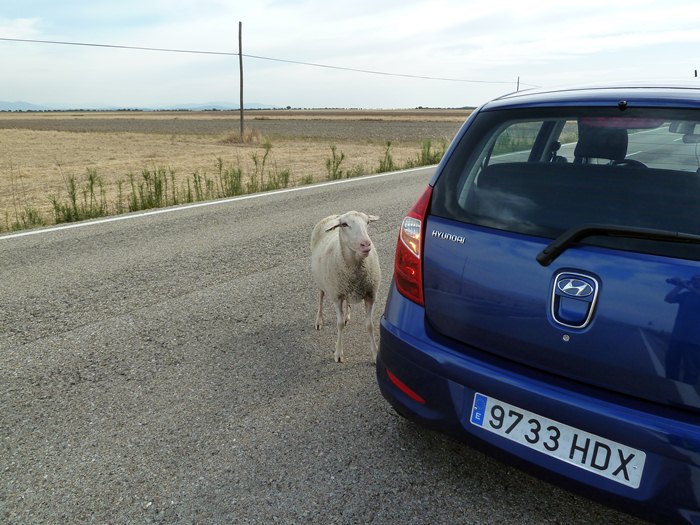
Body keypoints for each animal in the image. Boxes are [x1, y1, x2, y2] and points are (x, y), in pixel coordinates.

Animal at [310, 211, 381, 363]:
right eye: (344, 224)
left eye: (367, 222)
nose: (366, 244)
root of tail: (333, 216)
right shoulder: (336, 296)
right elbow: (340, 324)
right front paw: (338, 353)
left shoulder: (370, 296)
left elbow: (370, 326)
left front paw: (375, 354)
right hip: (321, 280)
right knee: (321, 296)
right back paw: (319, 320)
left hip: (347, 290)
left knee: (347, 301)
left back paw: (347, 315)